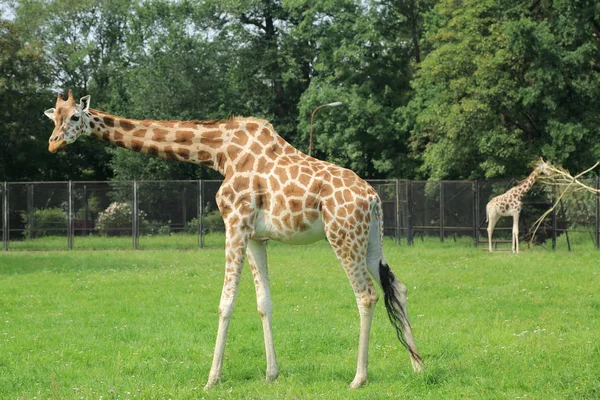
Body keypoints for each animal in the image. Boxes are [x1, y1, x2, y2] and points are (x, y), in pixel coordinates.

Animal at [45, 90, 422, 388]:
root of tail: (373, 198)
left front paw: (212, 378)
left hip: (342, 236)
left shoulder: (235, 223)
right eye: (54, 118)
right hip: (370, 239)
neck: (220, 153)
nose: (53, 143)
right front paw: (271, 374)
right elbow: (264, 302)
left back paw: (358, 378)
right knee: (398, 286)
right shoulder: (256, 236)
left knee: (367, 295)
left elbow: (226, 302)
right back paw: (418, 365)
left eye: (75, 116)